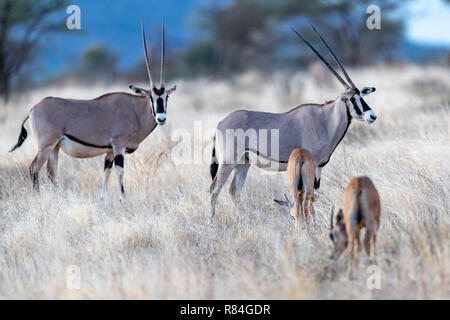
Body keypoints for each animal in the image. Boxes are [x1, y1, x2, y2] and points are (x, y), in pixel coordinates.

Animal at [10, 21, 176, 198]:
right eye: (151, 96)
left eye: (166, 97)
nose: (161, 118)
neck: (135, 110)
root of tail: (32, 110)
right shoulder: (119, 146)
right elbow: (120, 172)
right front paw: (123, 198)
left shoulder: (109, 151)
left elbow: (106, 172)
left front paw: (104, 198)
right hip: (45, 145)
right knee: (34, 168)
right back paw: (38, 195)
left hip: (54, 147)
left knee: (51, 172)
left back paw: (63, 196)